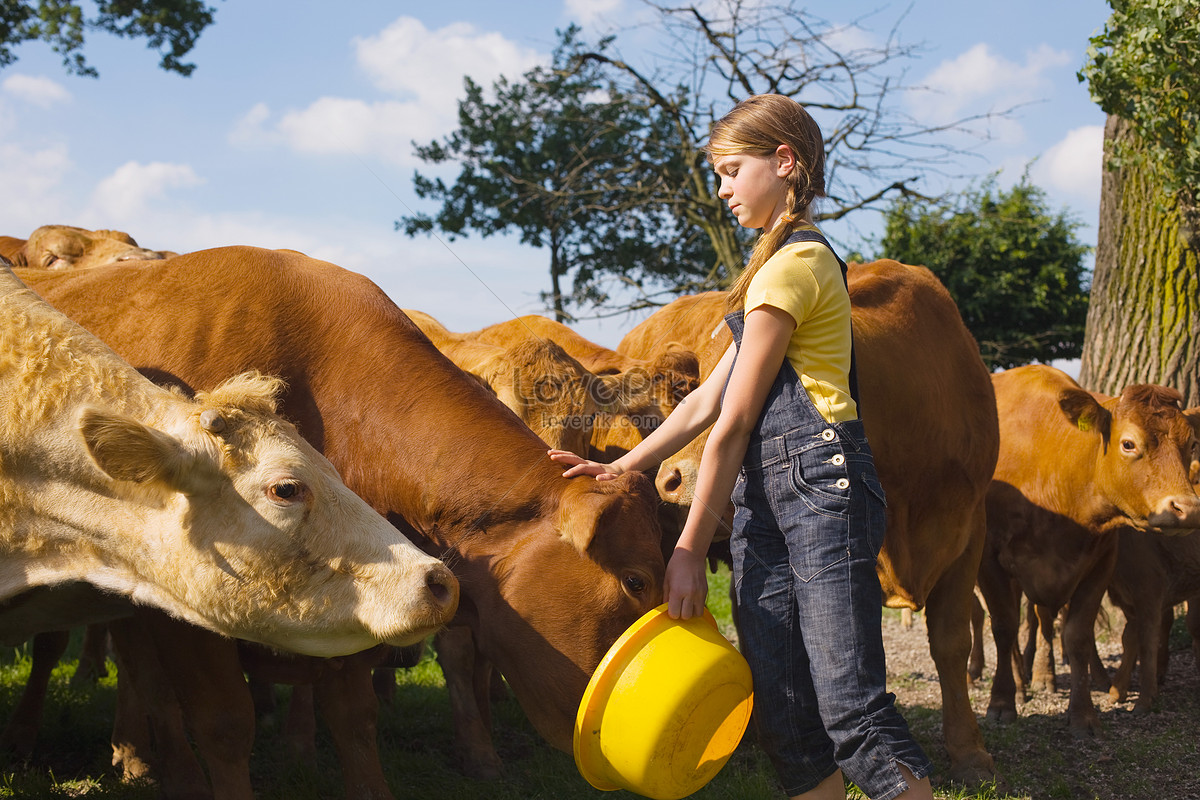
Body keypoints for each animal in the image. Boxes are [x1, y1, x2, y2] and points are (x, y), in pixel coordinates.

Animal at [974, 367, 1200, 734]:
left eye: (1191, 444)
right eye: (1128, 443)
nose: (1188, 509)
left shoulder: (1099, 563)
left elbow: (1077, 635)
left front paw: (1083, 714)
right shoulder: (989, 560)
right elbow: (1004, 626)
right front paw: (1002, 703)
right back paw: (1022, 686)